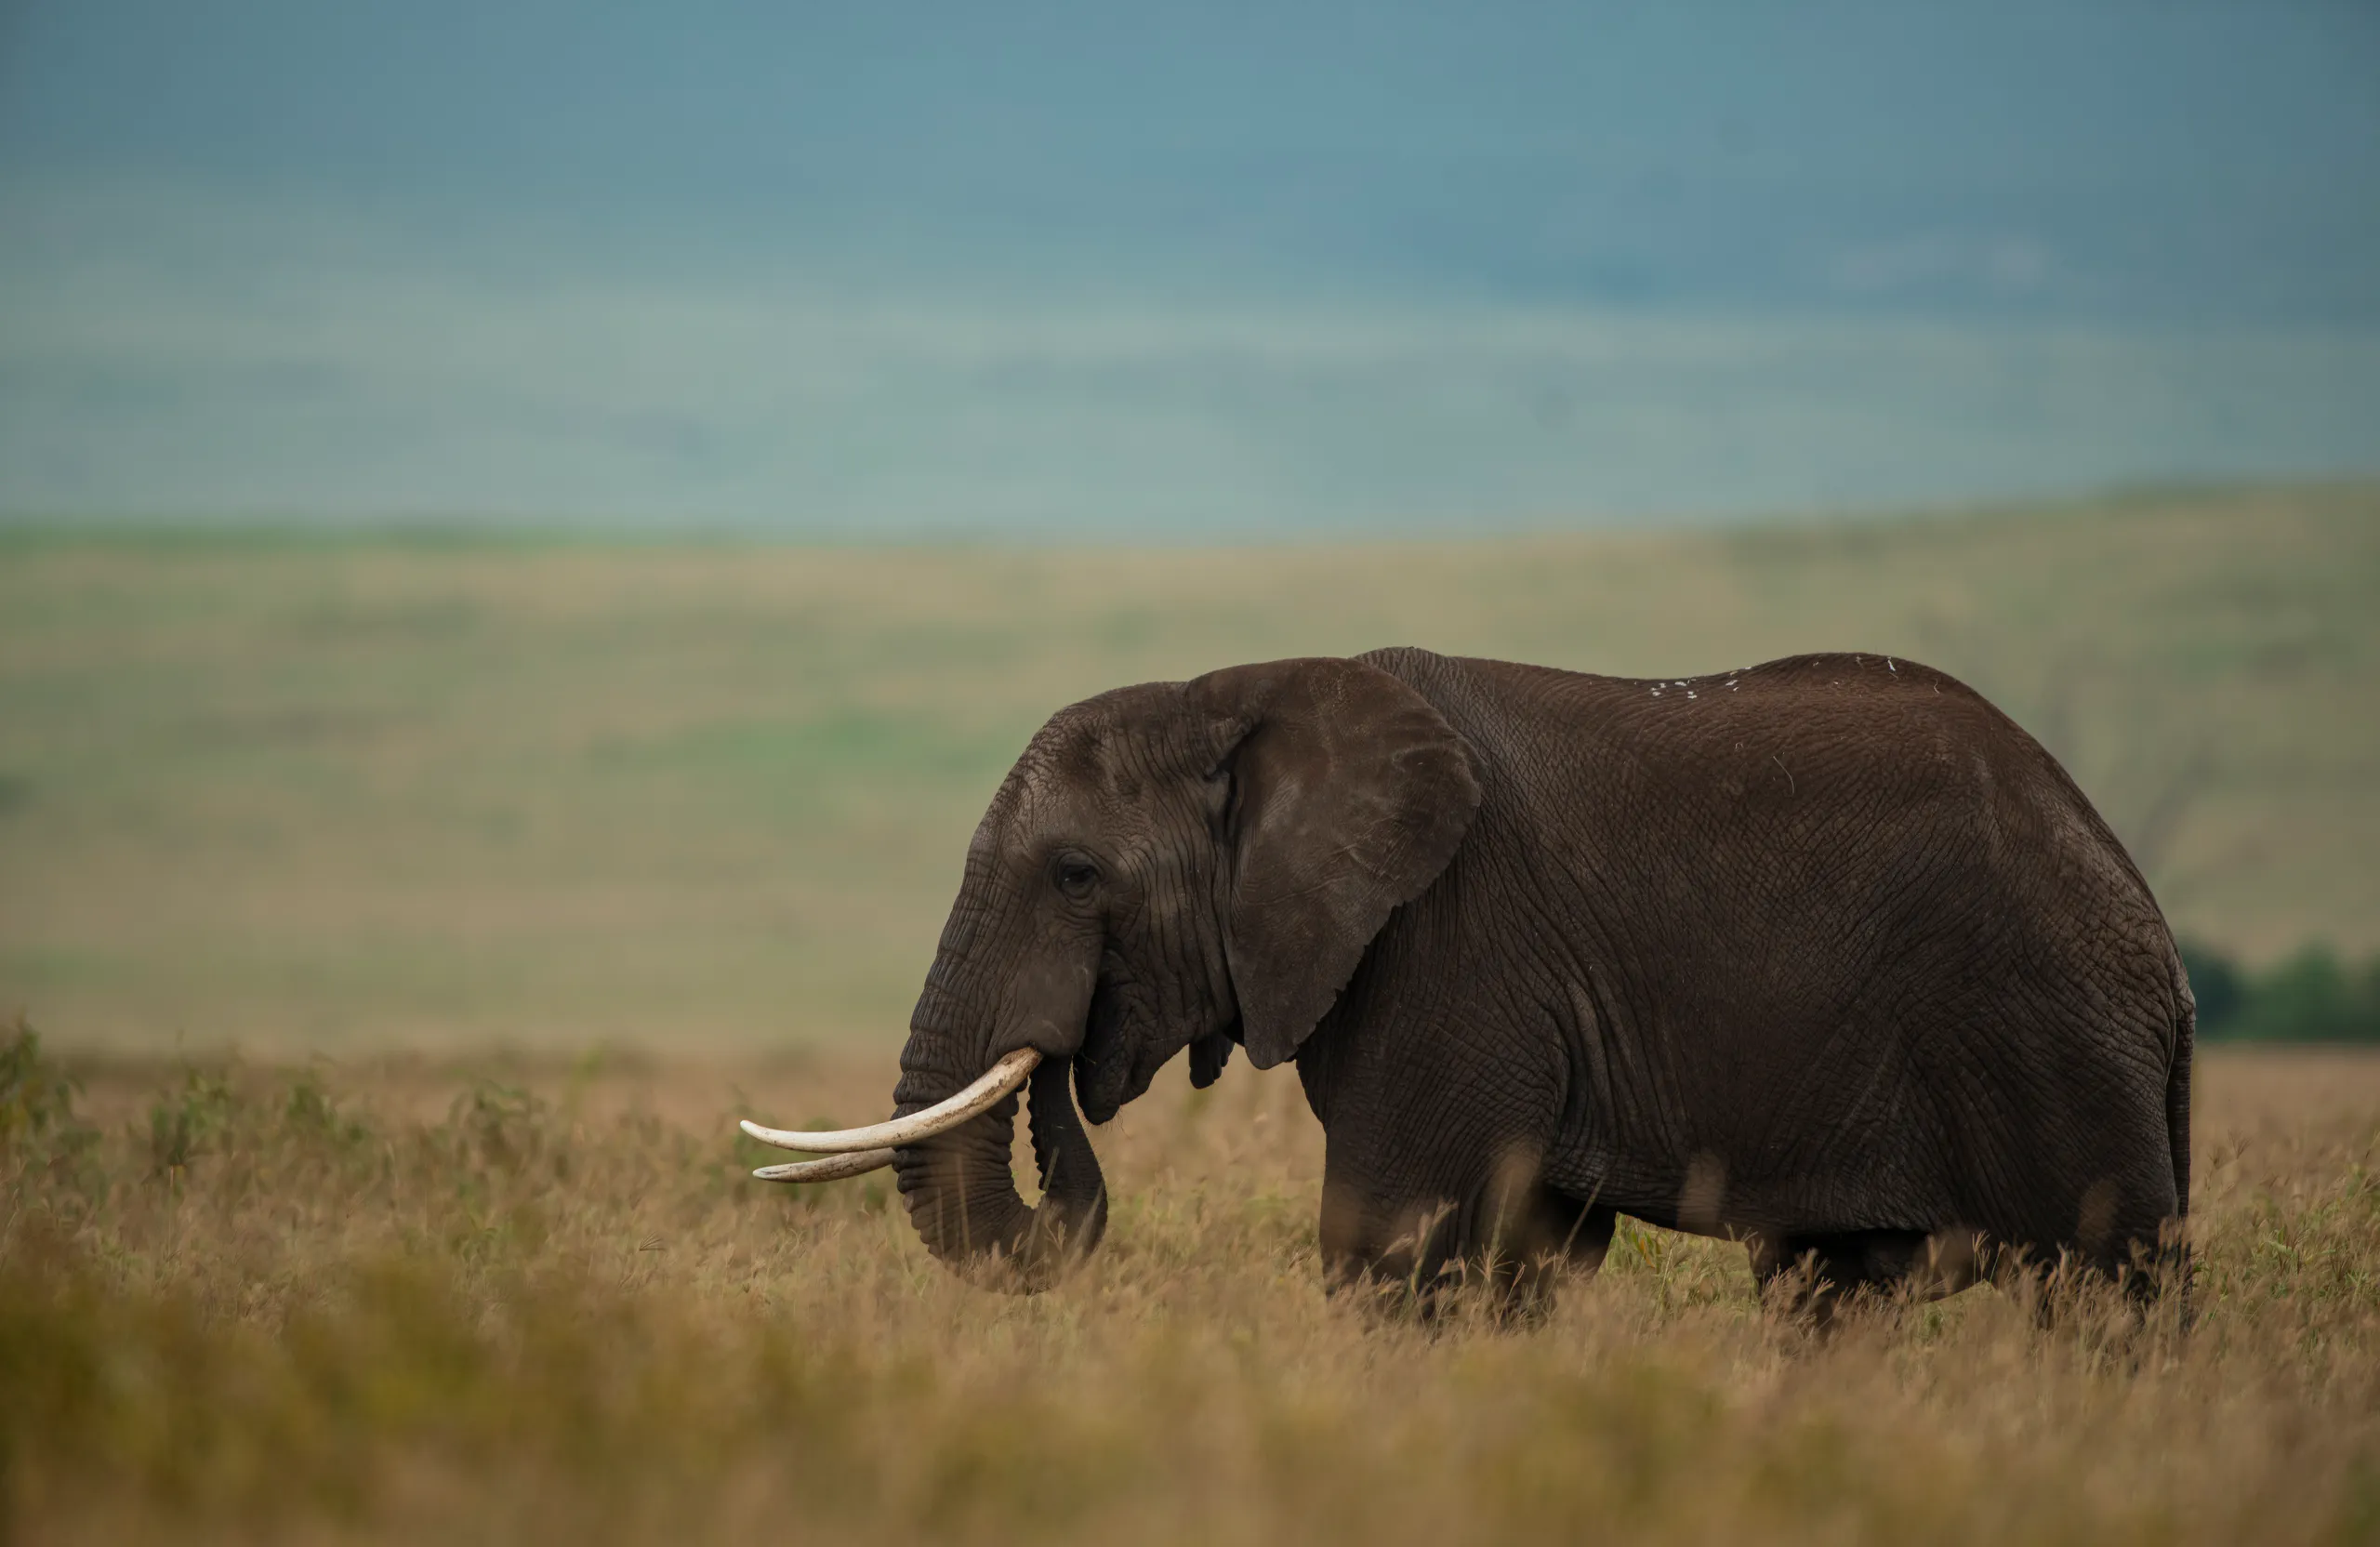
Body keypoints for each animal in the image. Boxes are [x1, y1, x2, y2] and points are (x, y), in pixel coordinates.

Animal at [743, 648, 2194, 1316]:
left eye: (1076, 875)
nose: (1064, 1068)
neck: (1240, 687)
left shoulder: (1449, 953)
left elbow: (1387, 1239)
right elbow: (1522, 1253)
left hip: (2046, 1032)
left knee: (2107, 1284)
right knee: (1829, 1289)